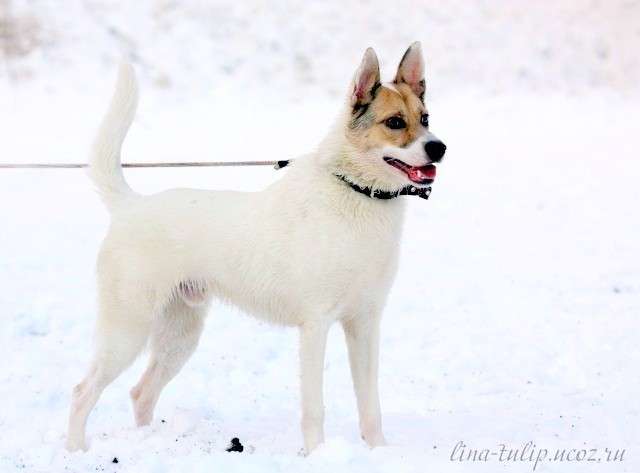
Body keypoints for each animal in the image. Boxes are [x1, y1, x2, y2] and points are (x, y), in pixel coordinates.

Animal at [65, 42, 444, 452]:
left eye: (425, 118)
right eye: (395, 122)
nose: (439, 148)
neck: (356, 191)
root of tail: (130, 205)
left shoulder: (365, 323)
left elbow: (370, 404)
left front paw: (377, 451)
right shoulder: (316, 326)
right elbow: (314, 408)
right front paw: (317, 454)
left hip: (179, 335)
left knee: (141, 392)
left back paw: (148, 440)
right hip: (127, 330)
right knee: (82, 391)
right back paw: (76, 449)